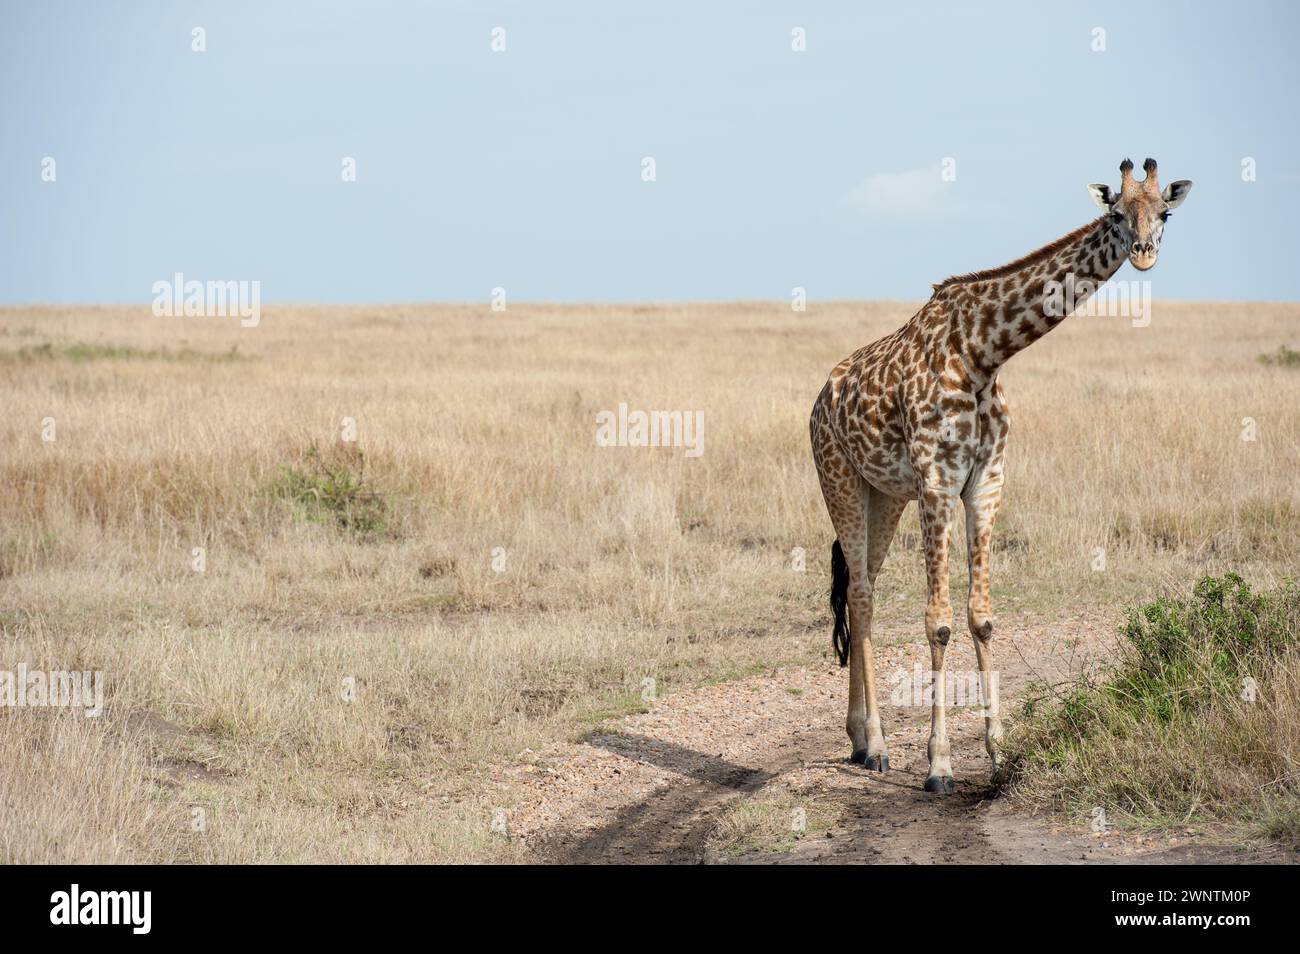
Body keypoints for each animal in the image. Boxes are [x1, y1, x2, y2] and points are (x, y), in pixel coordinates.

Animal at [806, 160, 1190, 795]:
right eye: (1116, 212)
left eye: (1165, 212)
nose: (1144, 252)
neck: (982, 352)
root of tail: (820, 399)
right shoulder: (937, 480)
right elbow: (938, 623)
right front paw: (938, 766)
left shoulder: (985, 482)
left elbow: (981, 617)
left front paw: (998, 753)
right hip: (838, 477)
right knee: (859, 591)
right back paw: (877, 745)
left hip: (883, 495)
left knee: (863, 593)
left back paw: (860, 740)